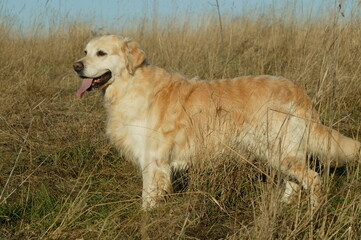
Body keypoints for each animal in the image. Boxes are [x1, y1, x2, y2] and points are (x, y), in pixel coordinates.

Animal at [72, 34, 358, 209]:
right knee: (295, 181)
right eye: (85, 51)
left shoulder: (153, 161)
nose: (76, 66)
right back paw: (282, 206)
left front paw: (145, 217)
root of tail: (299, 91)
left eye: (101, 53)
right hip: (276, 149)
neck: (130, 84)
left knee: (313, 179)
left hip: (280, 148)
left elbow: (148, 197)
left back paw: (313, 213)